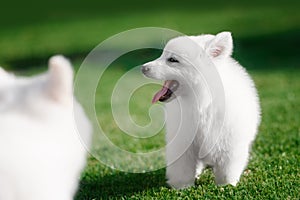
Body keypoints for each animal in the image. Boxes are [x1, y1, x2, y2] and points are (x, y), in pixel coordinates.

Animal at [142, 31, 262, 189]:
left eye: (172, 60)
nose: (143, 67)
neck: (202, 103)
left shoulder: (231, 145)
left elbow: (226, 171)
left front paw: (226, 186)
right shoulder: (183, 143)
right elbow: (182, 170)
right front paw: (181, 187)